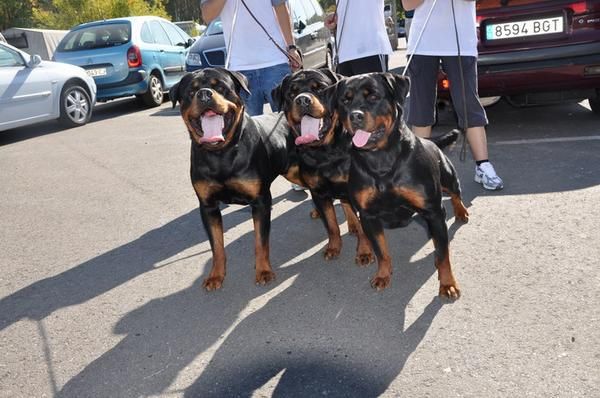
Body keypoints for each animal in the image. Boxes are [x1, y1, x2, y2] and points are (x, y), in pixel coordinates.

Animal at [170, 66, 304, 290]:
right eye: (191, 91)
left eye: (221, 87)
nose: (204, 94)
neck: (221, 154)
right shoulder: (208, 207)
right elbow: (216, 245)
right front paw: (216, 275)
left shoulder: (260, 201)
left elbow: (260, 241)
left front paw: (263, 271)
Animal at [270, 69, 372, 264]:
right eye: (291, 94)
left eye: (320, 89)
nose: (302, 100)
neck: (324, 152)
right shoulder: (318, 190)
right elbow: (331, 225)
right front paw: (333, 247)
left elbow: (363, 226)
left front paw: (364, 251)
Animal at [330, 71, 472, 298]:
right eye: (345, 100)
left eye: (373, 96)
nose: (355, 116)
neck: (380, 159)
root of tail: (431, 141)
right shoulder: (369, 216)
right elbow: (381, 250)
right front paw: (382, 275)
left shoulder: (433, 210)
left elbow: (443, 254)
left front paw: (447, 283)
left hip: (447, 178)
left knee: (455, 193)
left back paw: (460, 211)